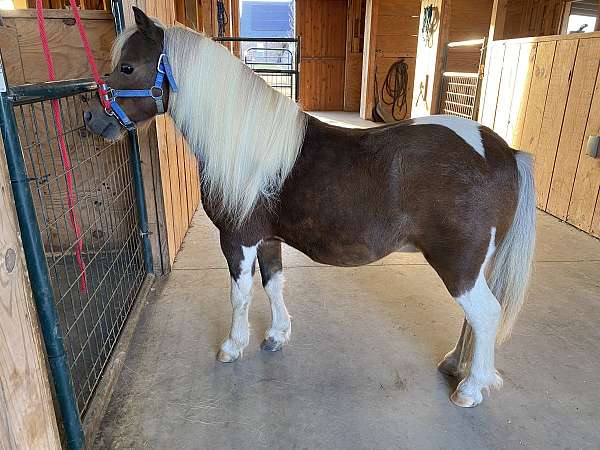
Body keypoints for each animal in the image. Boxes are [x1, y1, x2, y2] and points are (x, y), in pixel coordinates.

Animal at [83, 7, 536, 408]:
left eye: (128, 68)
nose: (93, 120)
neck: (245, 144)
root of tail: (504, 151)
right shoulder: (267, 239)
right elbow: (274, 285)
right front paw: (276, 336)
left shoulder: (237, 239)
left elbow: (239, 295)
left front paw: (233, 346)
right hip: (474, 266)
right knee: (474, 318)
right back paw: (457, 365)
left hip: (458, 264)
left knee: (486, 314)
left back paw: (471, 388)